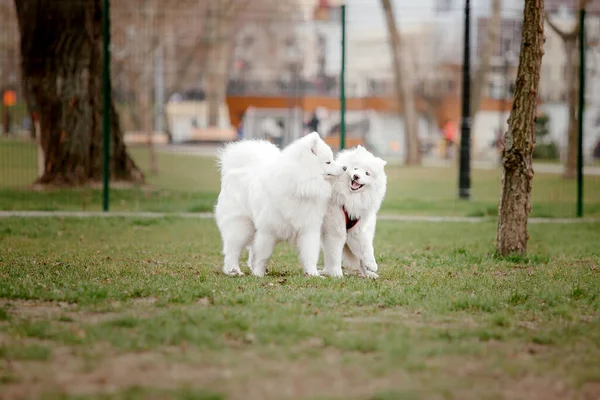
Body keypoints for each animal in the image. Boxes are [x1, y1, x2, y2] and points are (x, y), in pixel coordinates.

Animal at [213, 133, 344, 276]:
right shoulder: (268, 230)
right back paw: (233, 270)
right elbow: (263, 256)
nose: (344, 167)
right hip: (241, 226)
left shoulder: (308, 229)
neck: (299, 186)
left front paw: (313, 274)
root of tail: (233, 170)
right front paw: (258, 274)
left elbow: (310, 255)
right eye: (328, 162)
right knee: (232, 250)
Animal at [322, 145, 386, 280]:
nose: (356, 176)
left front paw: (371, 264)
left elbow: (367, 248)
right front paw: (336, 273)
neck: (351, 199)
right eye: (355, 168)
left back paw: (369, 274)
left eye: (367, 173)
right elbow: (334, 255)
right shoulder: (335, 231)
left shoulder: (357, 231)